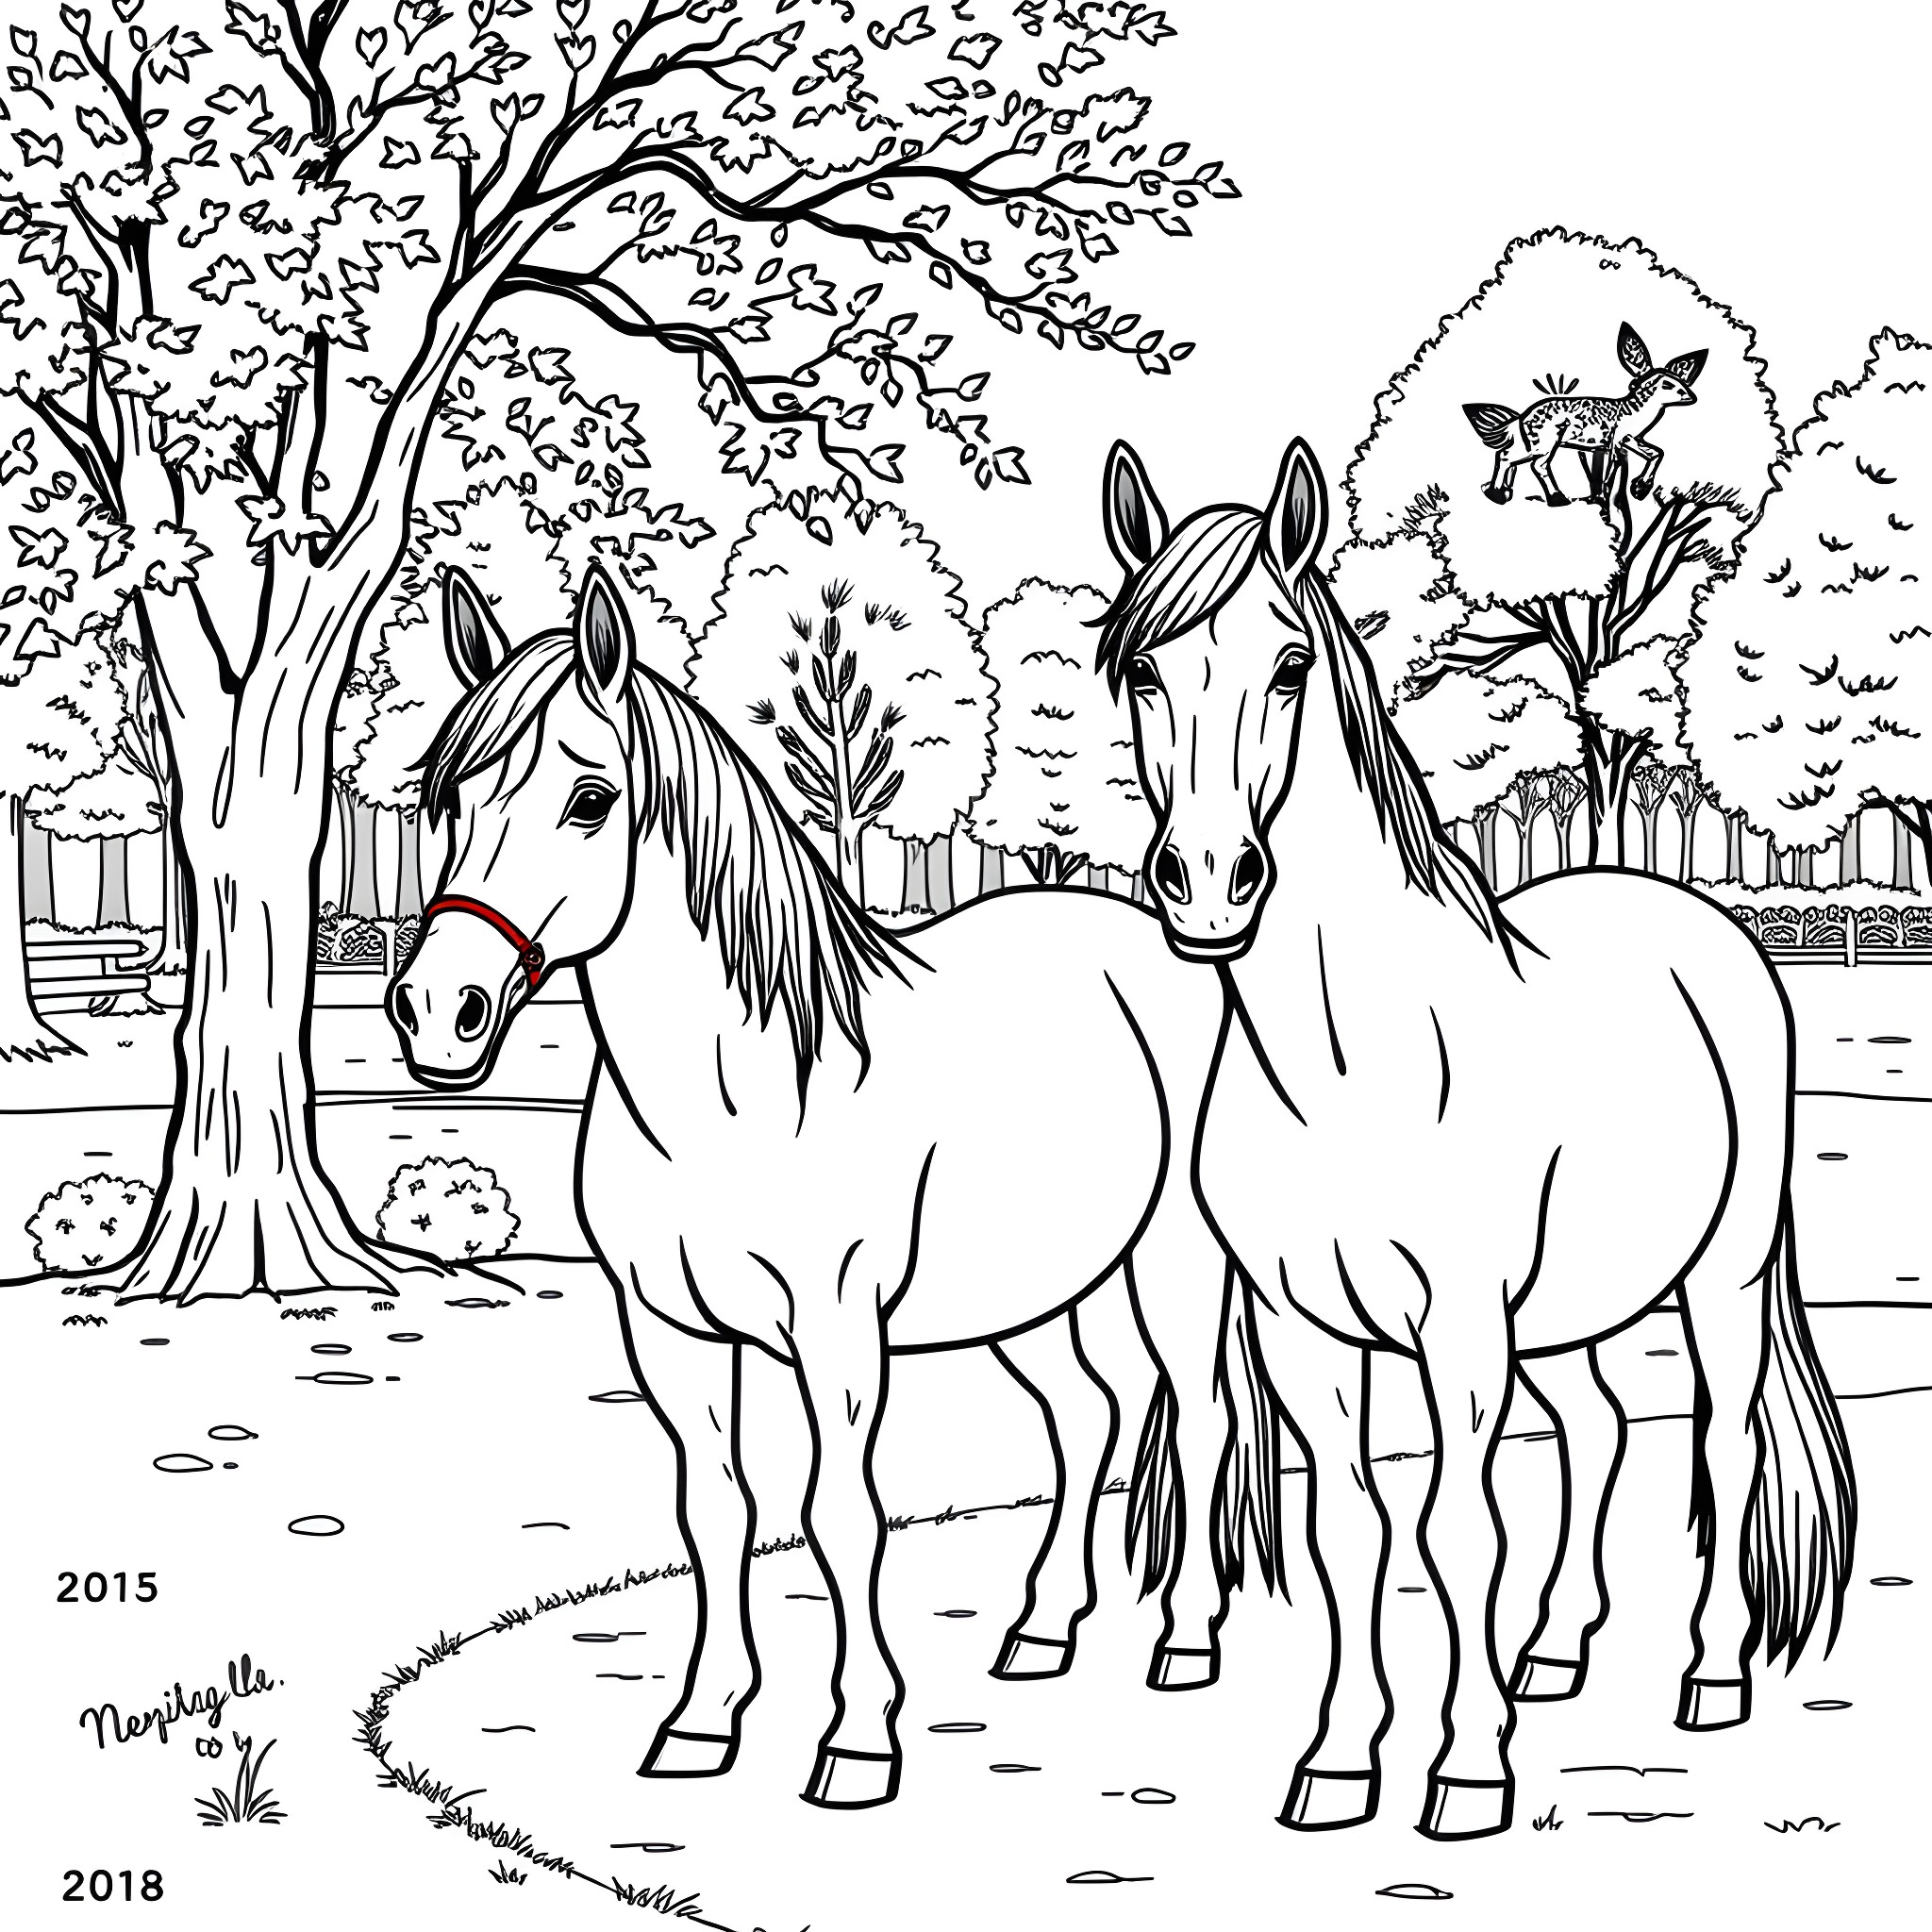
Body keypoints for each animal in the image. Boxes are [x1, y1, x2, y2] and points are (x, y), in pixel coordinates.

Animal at [384, 563, 1270, 1810]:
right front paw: (701, 1721)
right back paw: (1040, 1629)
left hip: (1173, 1256)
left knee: (1194, 1414)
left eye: (589, 800)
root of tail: (1166, 933)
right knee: (1087, 1412)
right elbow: (716, 1510)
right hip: (1034, 1285)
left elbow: (840, 1515)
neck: (738, 1088)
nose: (436, 1012)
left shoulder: (836, 1325)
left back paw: (1184, 1640)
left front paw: (856, 1740)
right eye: (447, 802)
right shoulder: (666, 1331)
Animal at [1094, 435, 1855, 1839]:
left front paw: (1465, 1768)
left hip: (1714, 1281)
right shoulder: (1305, 1330)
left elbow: (1458, 1532)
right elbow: (1348, 1529)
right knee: (1600, 1429)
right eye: (1142, 671)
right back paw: (1551, 1654)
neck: (1348, 1062)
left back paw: (1709, 1676)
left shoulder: (1456, 1327)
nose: (1209, 886)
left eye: (1288, 665)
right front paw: (1339, 1763)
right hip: (1567, 1310)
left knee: (1721, 1442)